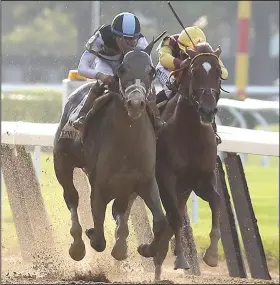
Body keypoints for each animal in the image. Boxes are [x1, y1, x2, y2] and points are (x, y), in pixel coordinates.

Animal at [153, 42, 223, 280]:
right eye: (194, 71)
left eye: (219, 73)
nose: (207, 110)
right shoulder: (165, 177)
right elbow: (174, 216)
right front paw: (181, 259)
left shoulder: (201, 178)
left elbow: (216, 201)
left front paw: (212, 255)